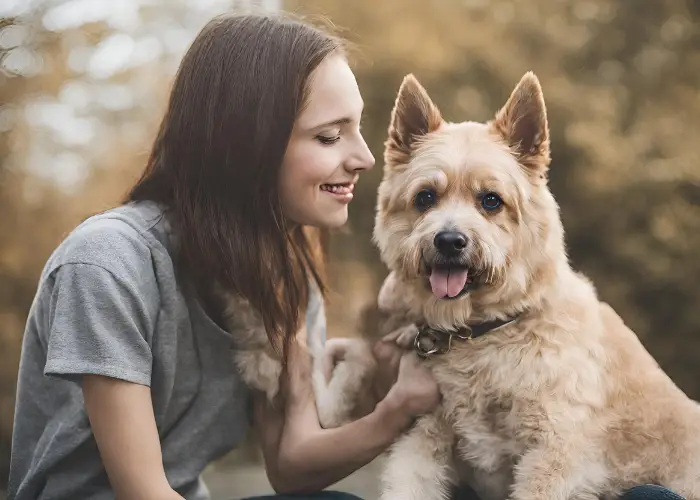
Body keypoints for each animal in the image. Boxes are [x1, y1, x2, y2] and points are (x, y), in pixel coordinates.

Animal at [366, 71, 700, 500]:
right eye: (425, 197)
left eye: (491, 200)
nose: (450, 241)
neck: (484, 333)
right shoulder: (422, 436)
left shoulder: (553, 454)